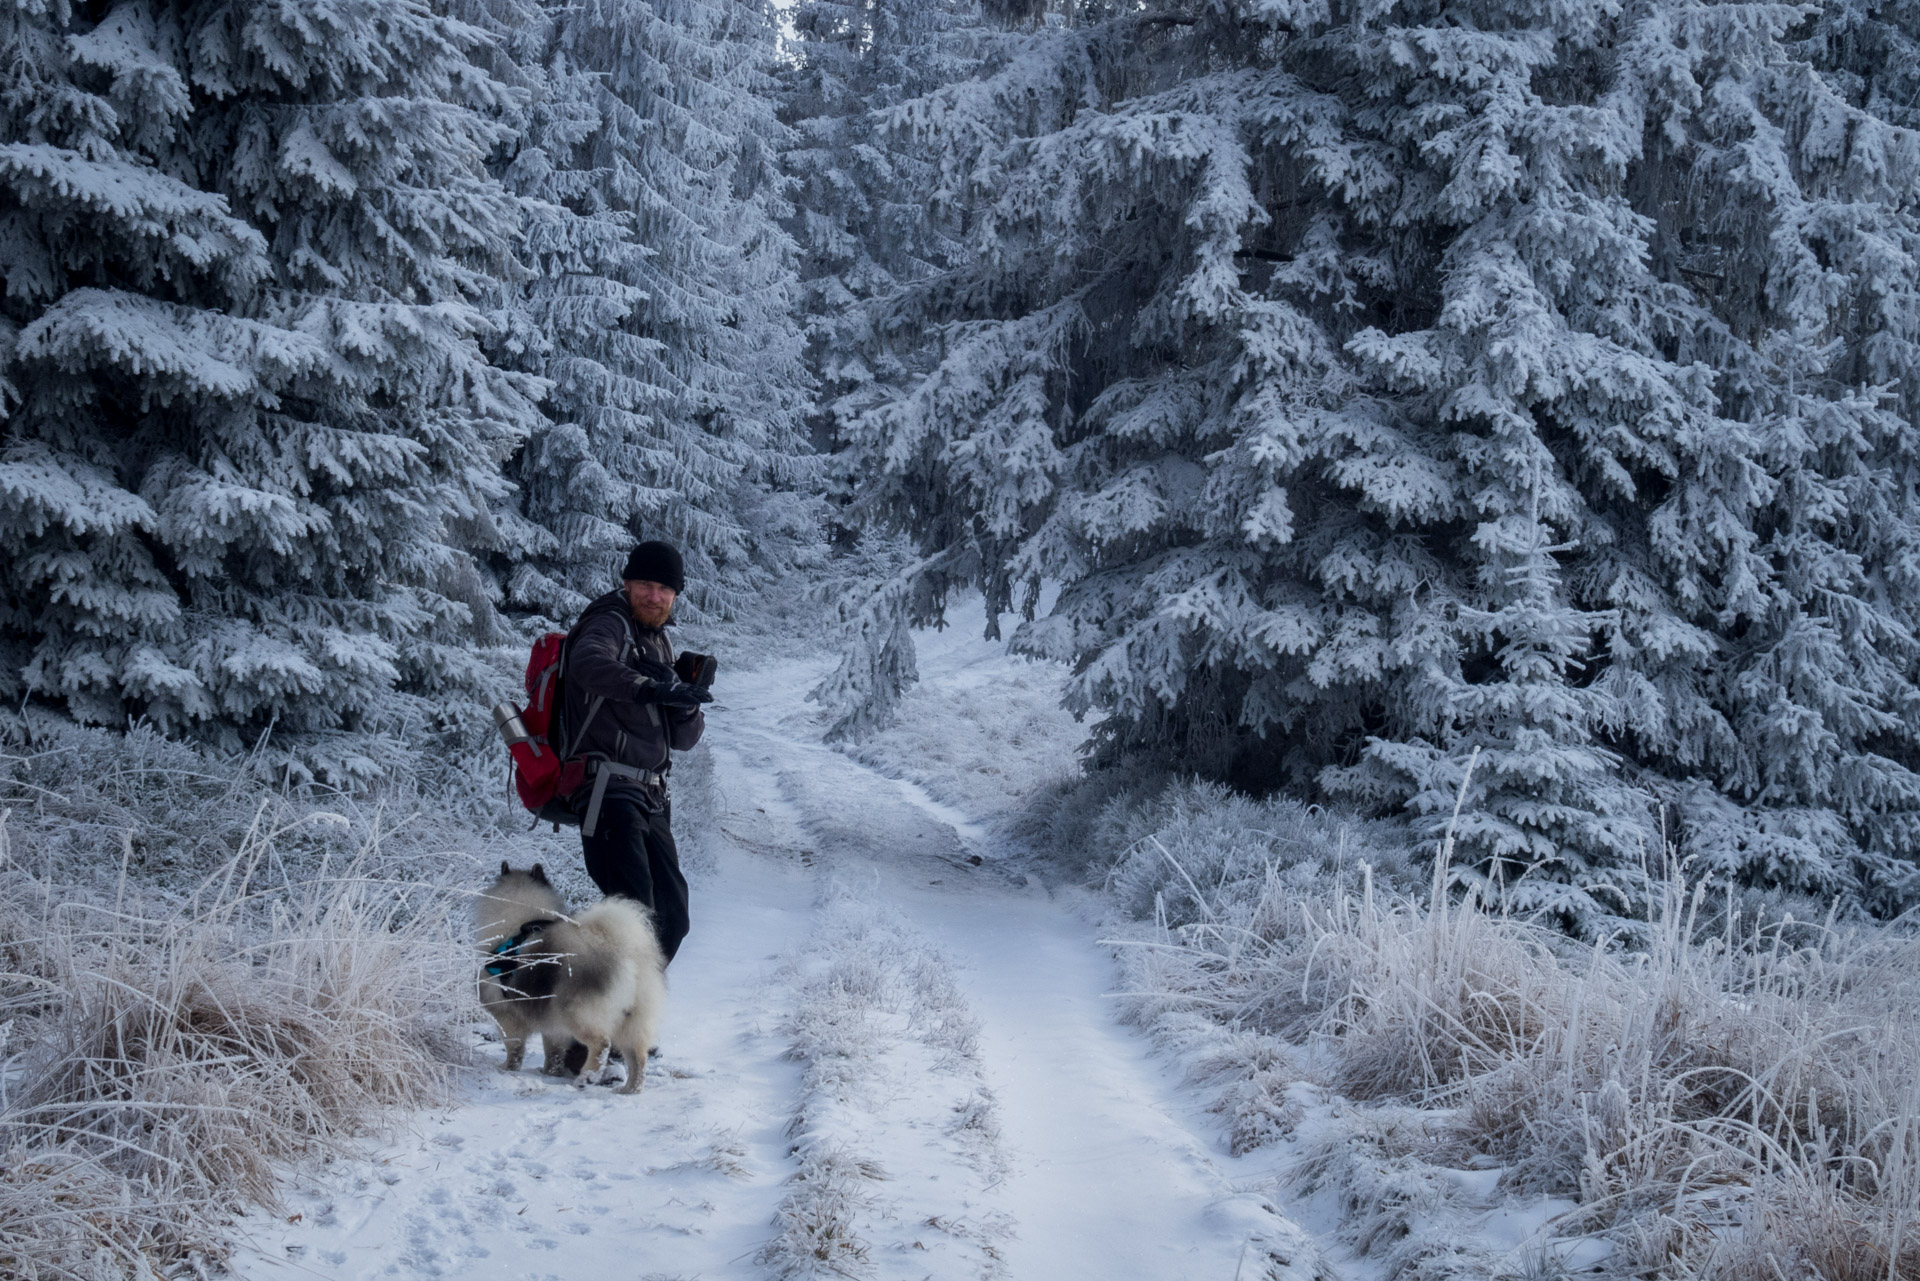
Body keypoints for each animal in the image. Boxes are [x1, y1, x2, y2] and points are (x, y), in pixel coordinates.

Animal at [472, 860, 668, 1090]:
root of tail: (624, 952)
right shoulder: (553, 1026)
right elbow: (554, 1054)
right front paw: (550, 1073)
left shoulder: (508, 1017)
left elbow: (515, 1048)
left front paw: (507, 1068)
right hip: (631, 1020)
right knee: (638, 1057)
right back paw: (629, 1090)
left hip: (578, 1014)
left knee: (602, 1044)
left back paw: (588, 1077)